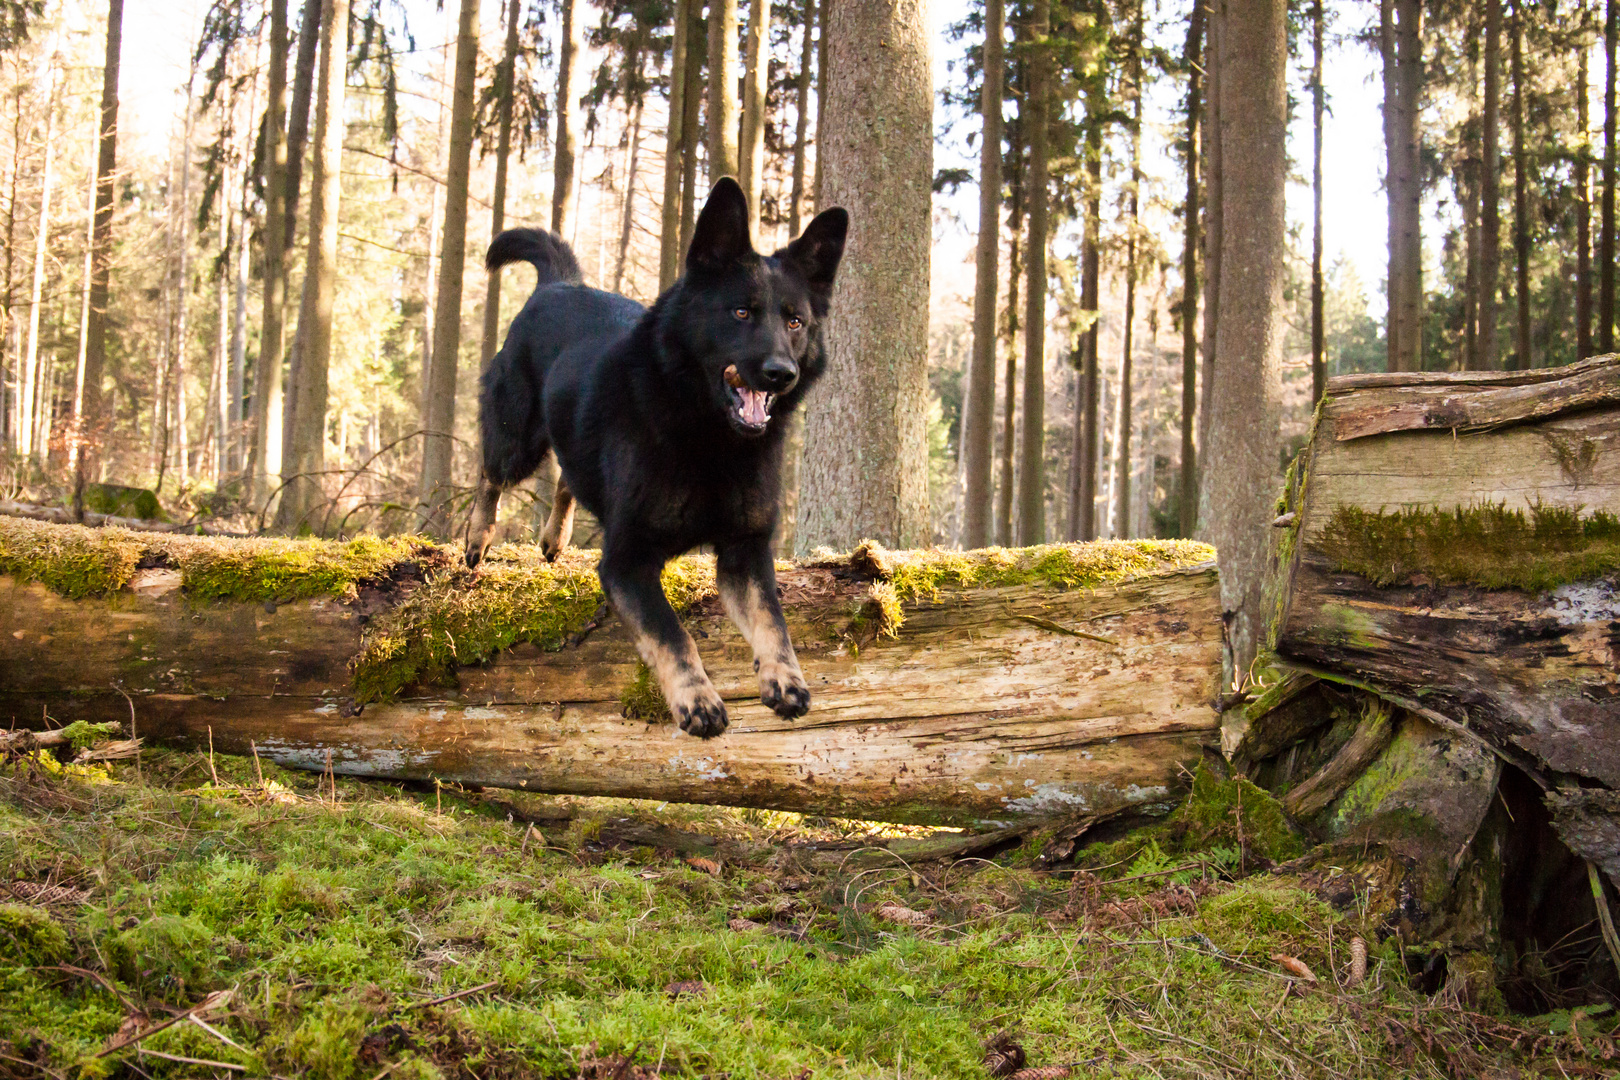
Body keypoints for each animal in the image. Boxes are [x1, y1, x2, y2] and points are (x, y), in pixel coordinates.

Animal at [466, 181, 848, 738]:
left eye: (795, 321)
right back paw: (477, 538)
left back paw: (555, 536)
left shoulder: (745, 553)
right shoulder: (627, 561)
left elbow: (772, 619)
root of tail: (559, 285)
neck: (710, 438)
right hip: (517, 440)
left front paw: (785, 677)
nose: (782, 373)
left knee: (568, 477)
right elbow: (671, 633)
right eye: (741, 313)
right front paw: (697, 699)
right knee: (490, 474)